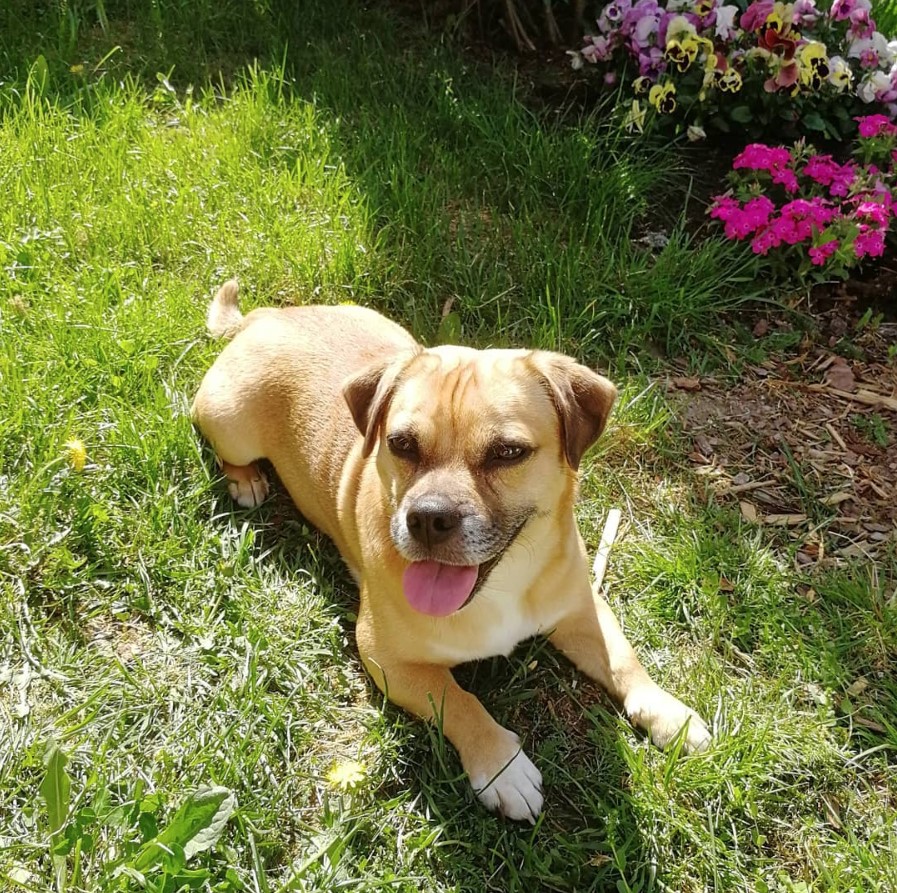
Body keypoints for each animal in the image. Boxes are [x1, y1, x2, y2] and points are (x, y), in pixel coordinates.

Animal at [192, 278, 712, 824]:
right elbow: (458, 701)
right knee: (226, 450)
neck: (501, 583)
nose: (427, 517)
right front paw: (502, 767)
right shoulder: (386, 658)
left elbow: (625, 661)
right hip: (229, 423)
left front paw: (669, 713)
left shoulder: (581, 609)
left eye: (508, 453)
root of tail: (268, 317)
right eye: (401, 444)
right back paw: (246, 481)